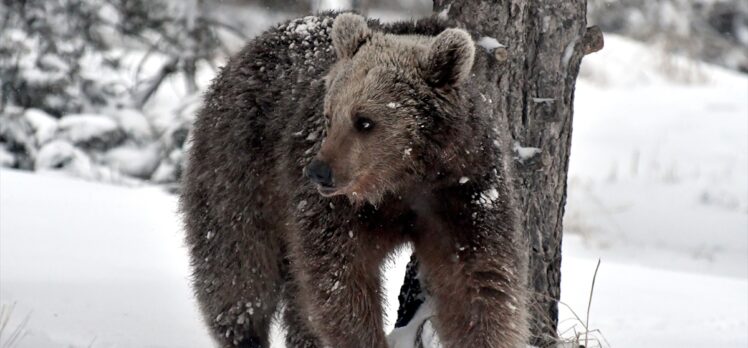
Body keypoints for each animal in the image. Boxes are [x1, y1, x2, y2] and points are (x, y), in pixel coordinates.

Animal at [182, 12, 528, 346]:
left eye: (364, 121)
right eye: (329, 115)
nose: (319, 171)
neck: (401, 179)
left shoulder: (463, 193)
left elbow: (477, 285)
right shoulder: (338, 214)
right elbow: (340, 286)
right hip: (239, 174)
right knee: (239, 271)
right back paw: (245, 333)